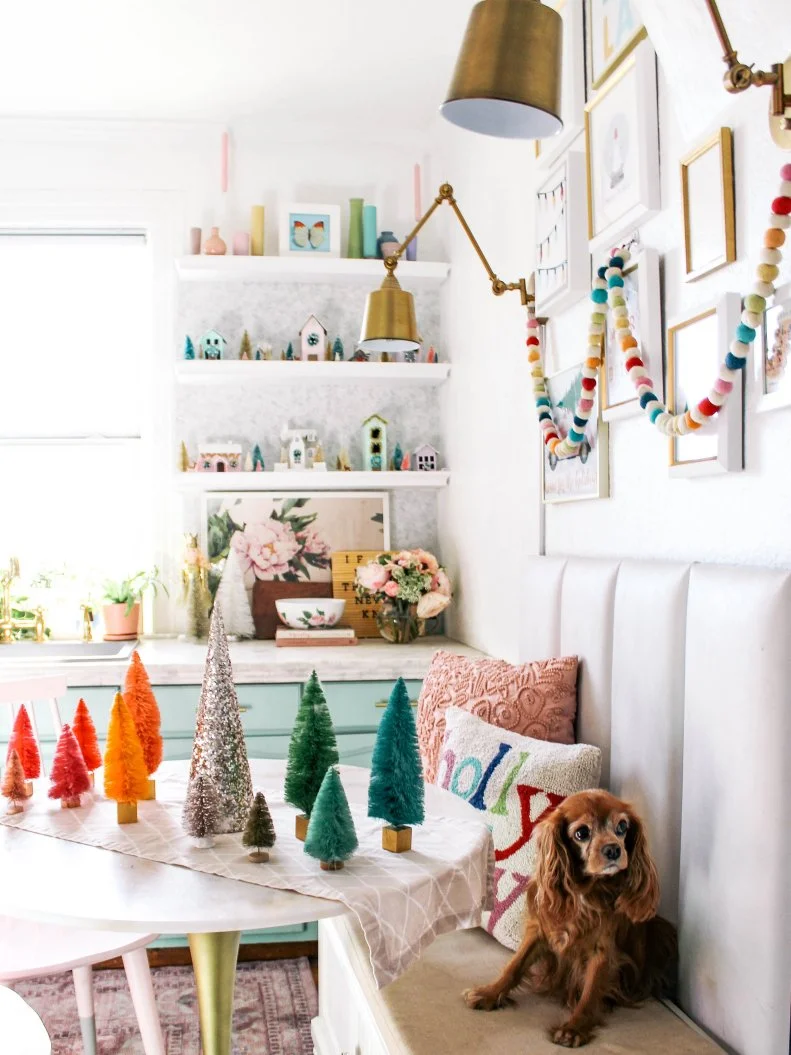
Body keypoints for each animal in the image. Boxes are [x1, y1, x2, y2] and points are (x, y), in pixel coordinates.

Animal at [464, 793, 674, 1046]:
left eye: (622, 826)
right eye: (581, 833)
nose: (614, 849)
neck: (585, 892)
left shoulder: (602, 949)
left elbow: (591, 991)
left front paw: (574, 1028)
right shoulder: (541, 930)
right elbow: (515, 966)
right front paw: (489, 993)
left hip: (662, 931)